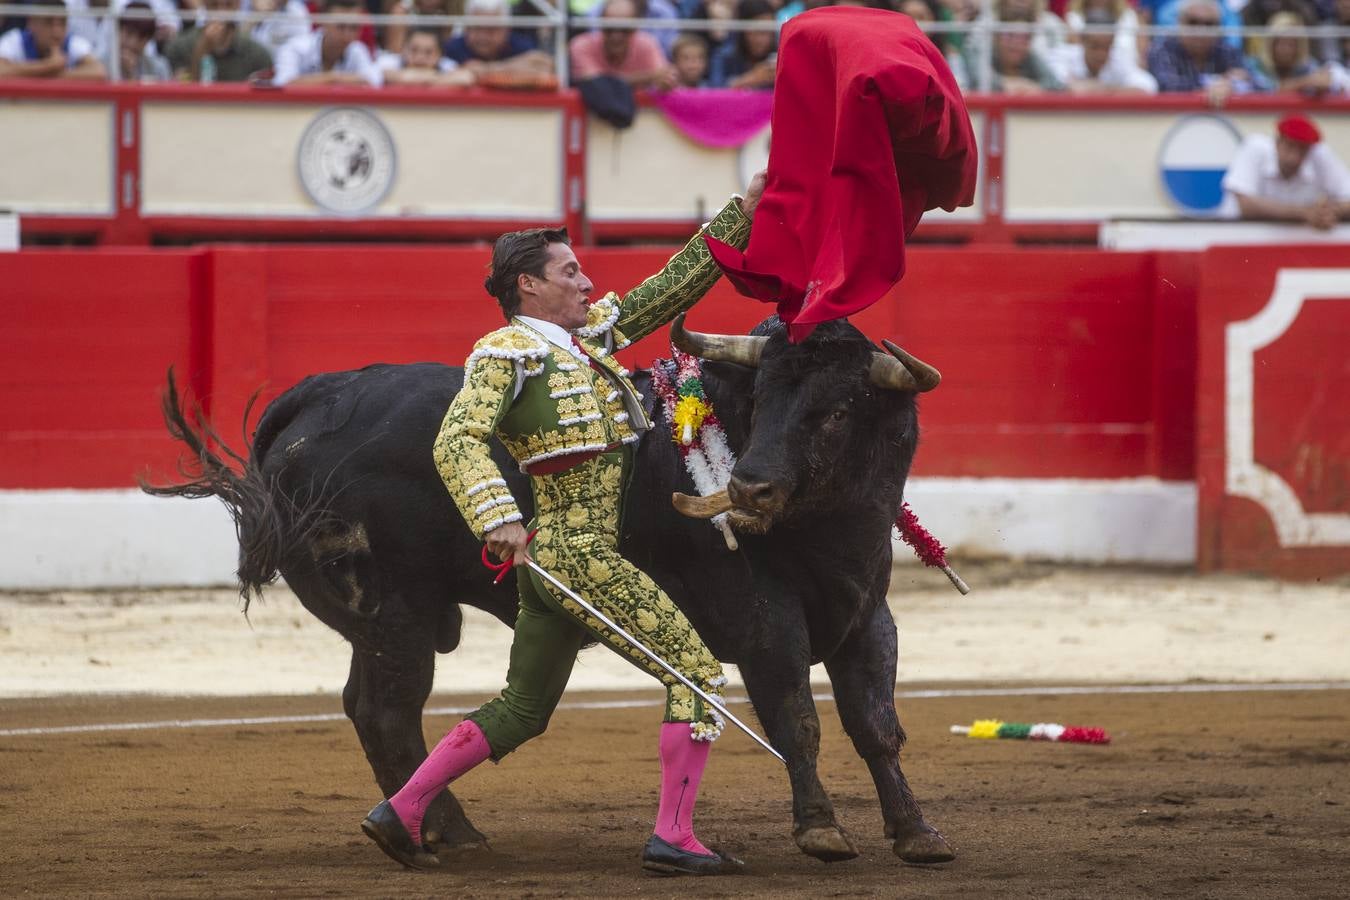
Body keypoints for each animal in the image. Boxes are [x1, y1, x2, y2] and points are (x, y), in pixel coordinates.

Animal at [147, 317, 955, 863]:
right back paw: (440, 833)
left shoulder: (867, 619)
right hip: (396, 612)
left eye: (838, 410)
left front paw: (915, 832)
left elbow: (877, 726)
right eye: (764, 396)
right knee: (389, 710)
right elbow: (799, 721)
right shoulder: (767, 624)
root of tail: (322, 394)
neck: (831, 531)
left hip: (382, 620)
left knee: (369, 706)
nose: (750, 486)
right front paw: (821, 829)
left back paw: (432, 827)